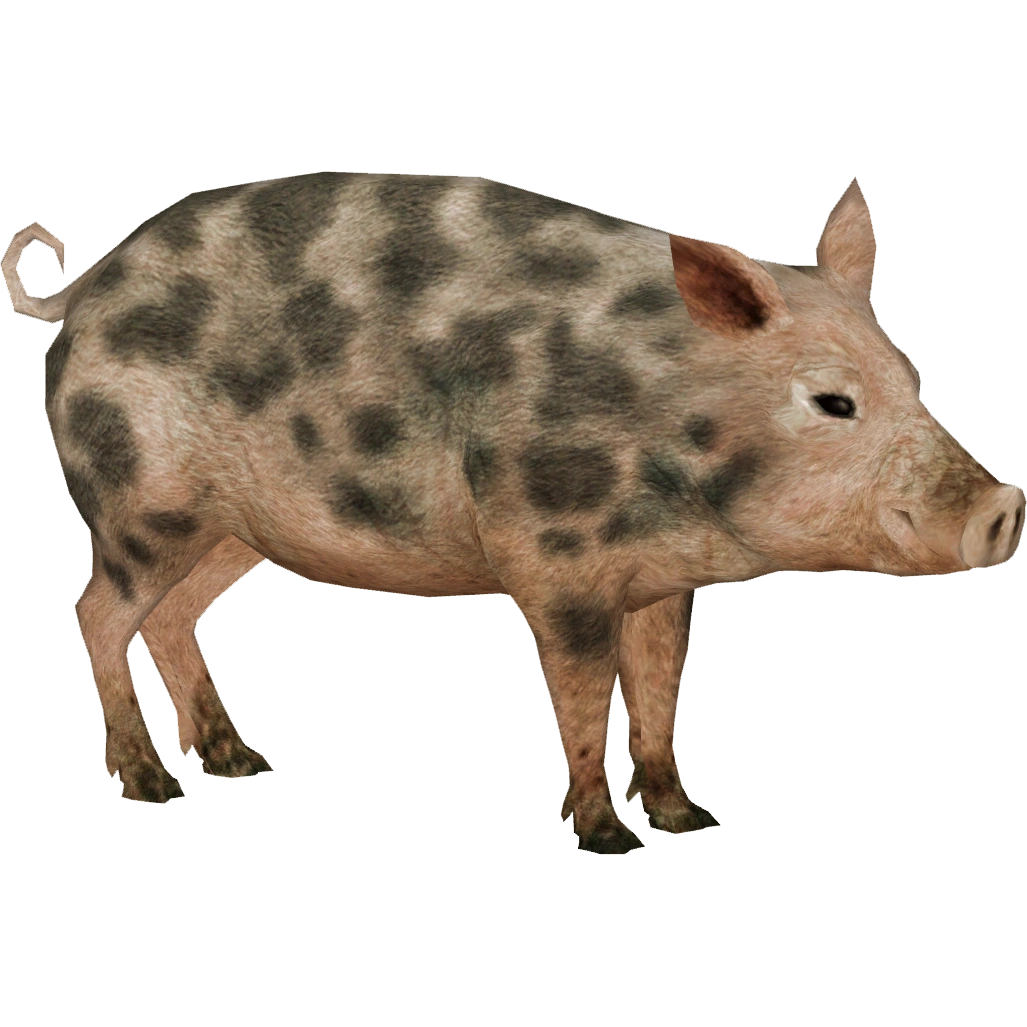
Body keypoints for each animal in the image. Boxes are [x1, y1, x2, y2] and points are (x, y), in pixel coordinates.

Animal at [3, 171, 1022, 854]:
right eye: (831, 401)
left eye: (913, 376)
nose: (1003, 505)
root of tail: (78, 292)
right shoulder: (552, 558)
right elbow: (581, 691)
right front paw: (607, 839)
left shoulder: (664, 582)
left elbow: (660, 687)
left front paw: (692, 820)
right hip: (141, 503)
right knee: (95, 611)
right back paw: (152, 788)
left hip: (232, 532)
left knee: (172, 616)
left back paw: (242, 762)